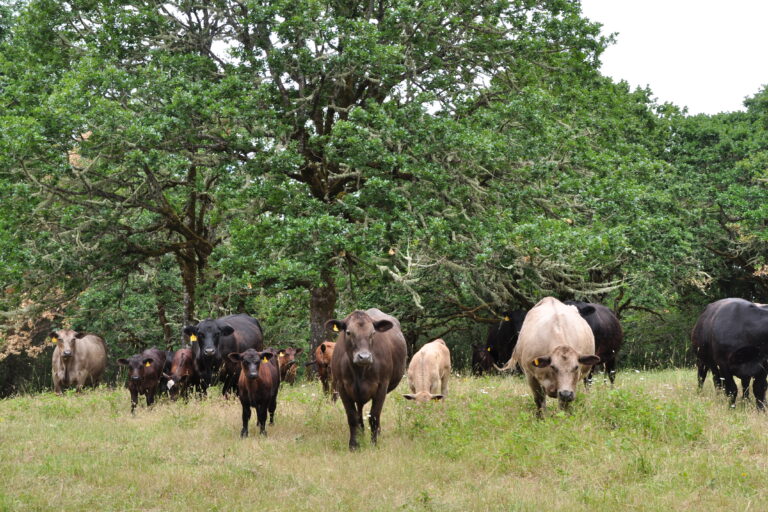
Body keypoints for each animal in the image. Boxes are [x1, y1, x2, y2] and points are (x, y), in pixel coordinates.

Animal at [328, 306, 408, 450]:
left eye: (373, 333)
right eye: (348, 332)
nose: (364, 357)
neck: (359, 372)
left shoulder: (382, 385)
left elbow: (374, 415)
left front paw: (373, 443)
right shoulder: (342, 387)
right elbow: (352, 417)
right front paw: (354, 444)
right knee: (359, 413)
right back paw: (361, 434)